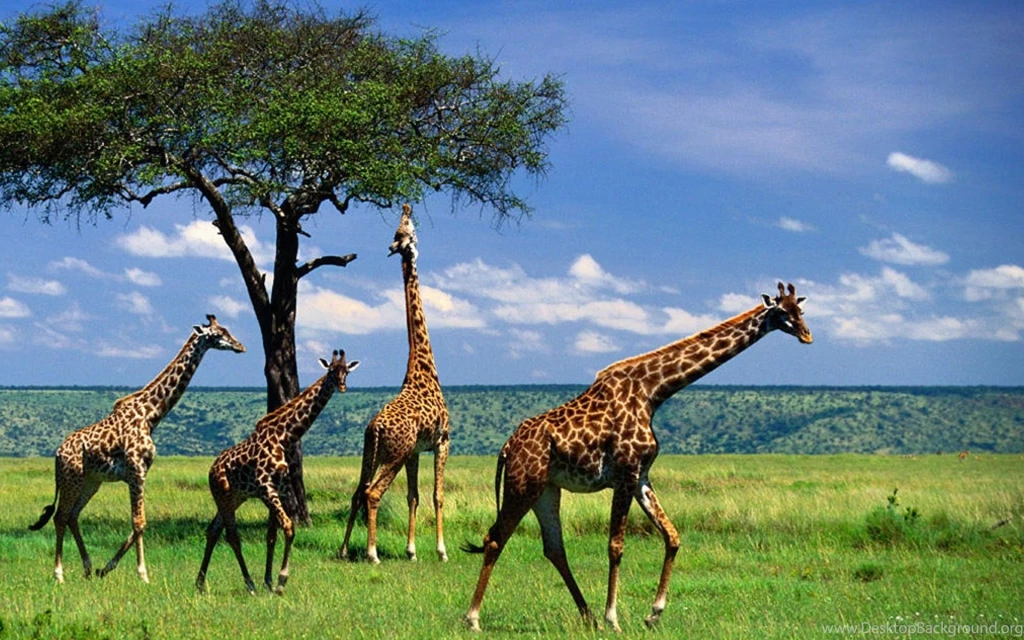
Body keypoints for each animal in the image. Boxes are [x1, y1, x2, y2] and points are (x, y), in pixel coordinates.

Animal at [29, 315, 245, 584]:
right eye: (218, 333)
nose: (240, 346)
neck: (151, 415)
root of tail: (58, 454)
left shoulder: (141, 472)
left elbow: (139, 523)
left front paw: (106, 568)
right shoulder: (136, 470)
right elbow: (139, 521)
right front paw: (143, 574)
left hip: (91, 482)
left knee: (72, 516)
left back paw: (88, 568)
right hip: (72, 478)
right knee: (60, 517)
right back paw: (59, 574)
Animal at [196, 350, 360, 594]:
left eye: (346, 371)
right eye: (331, 370)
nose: (341, 386)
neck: (284, 437)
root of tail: (211, 469)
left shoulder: (280, 488)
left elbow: (272, 535)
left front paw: (269, 581)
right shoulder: (266, 487)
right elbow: (289, 527)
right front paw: (281, 581)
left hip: (234, 497)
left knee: (213, 530)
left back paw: (200, 583)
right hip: (222, 494)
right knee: (231, 535)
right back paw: (248, 583)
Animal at [339, 204, 451, 564]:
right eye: (409, 231)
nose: (407, 207)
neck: (423, 367)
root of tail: (375, 426)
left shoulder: (416, 450)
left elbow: (413, 496)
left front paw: (411, 551)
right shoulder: (442, 440)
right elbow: (436, 494)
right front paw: (441, 551)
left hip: (372, 451)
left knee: (358, 491)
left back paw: (344, 549)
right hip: (393, 454)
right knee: (373, 493)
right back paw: (372, 552)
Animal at [463, 283, 813, 632]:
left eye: (801, 310)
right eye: (782, 311)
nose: (807, 335)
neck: (652, 392)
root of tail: (507, 448)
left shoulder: (641, 475)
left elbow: (672, 536)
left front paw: (653, 613)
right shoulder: (625, 472)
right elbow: (616, 546)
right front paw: (614, 618)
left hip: (546, 489)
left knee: (554, 547)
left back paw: (588, 617)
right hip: (524, 484)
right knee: (495, 538)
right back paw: (473, 618)